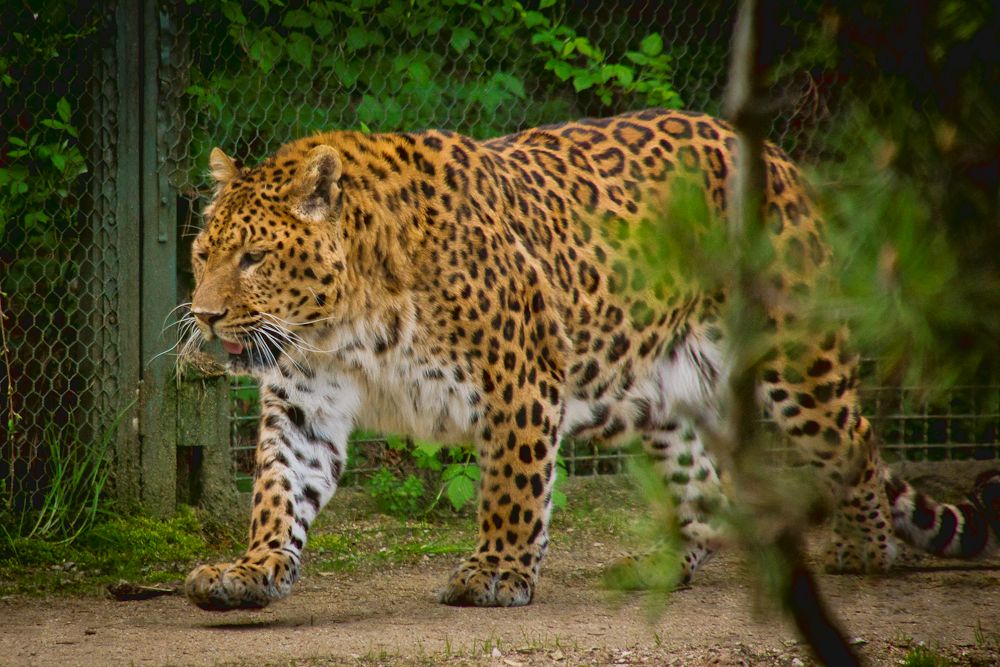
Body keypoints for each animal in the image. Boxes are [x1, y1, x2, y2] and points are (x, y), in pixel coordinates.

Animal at [182, 109, 1000, 612]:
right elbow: (279, 489)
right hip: (649, 388)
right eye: (202, 254)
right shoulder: (305, 401)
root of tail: (779, 157)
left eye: (254, 258)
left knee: (855, 442)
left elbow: (511, 487)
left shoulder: (518, 376)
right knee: (700, 476)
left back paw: (866, 549)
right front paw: (250, 571)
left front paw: (497, 574)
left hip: (796, 362)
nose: (205, 314)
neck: (341, 322)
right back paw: (659, 569)